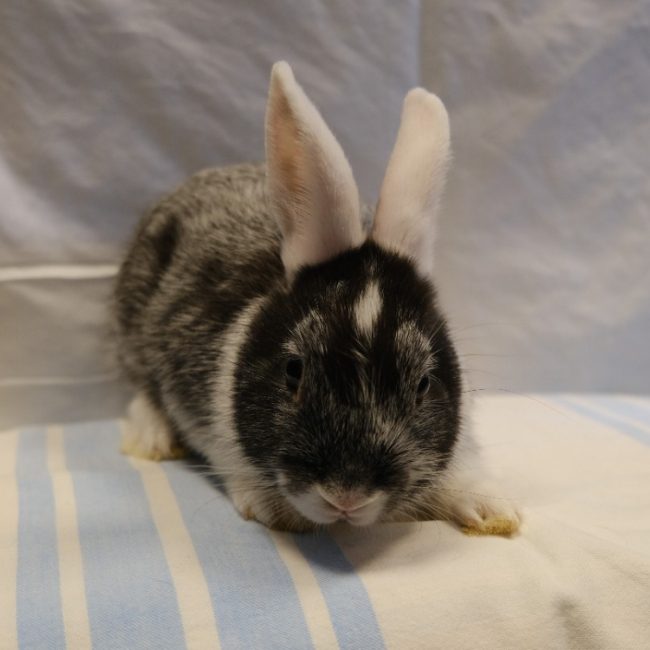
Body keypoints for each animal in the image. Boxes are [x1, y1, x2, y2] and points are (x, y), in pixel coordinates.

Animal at [113, 61, 521, 535]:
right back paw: (151, 439)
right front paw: (274, 511)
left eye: (422, 384)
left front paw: (494, 512)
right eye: (294, 370)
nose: (347, 496)